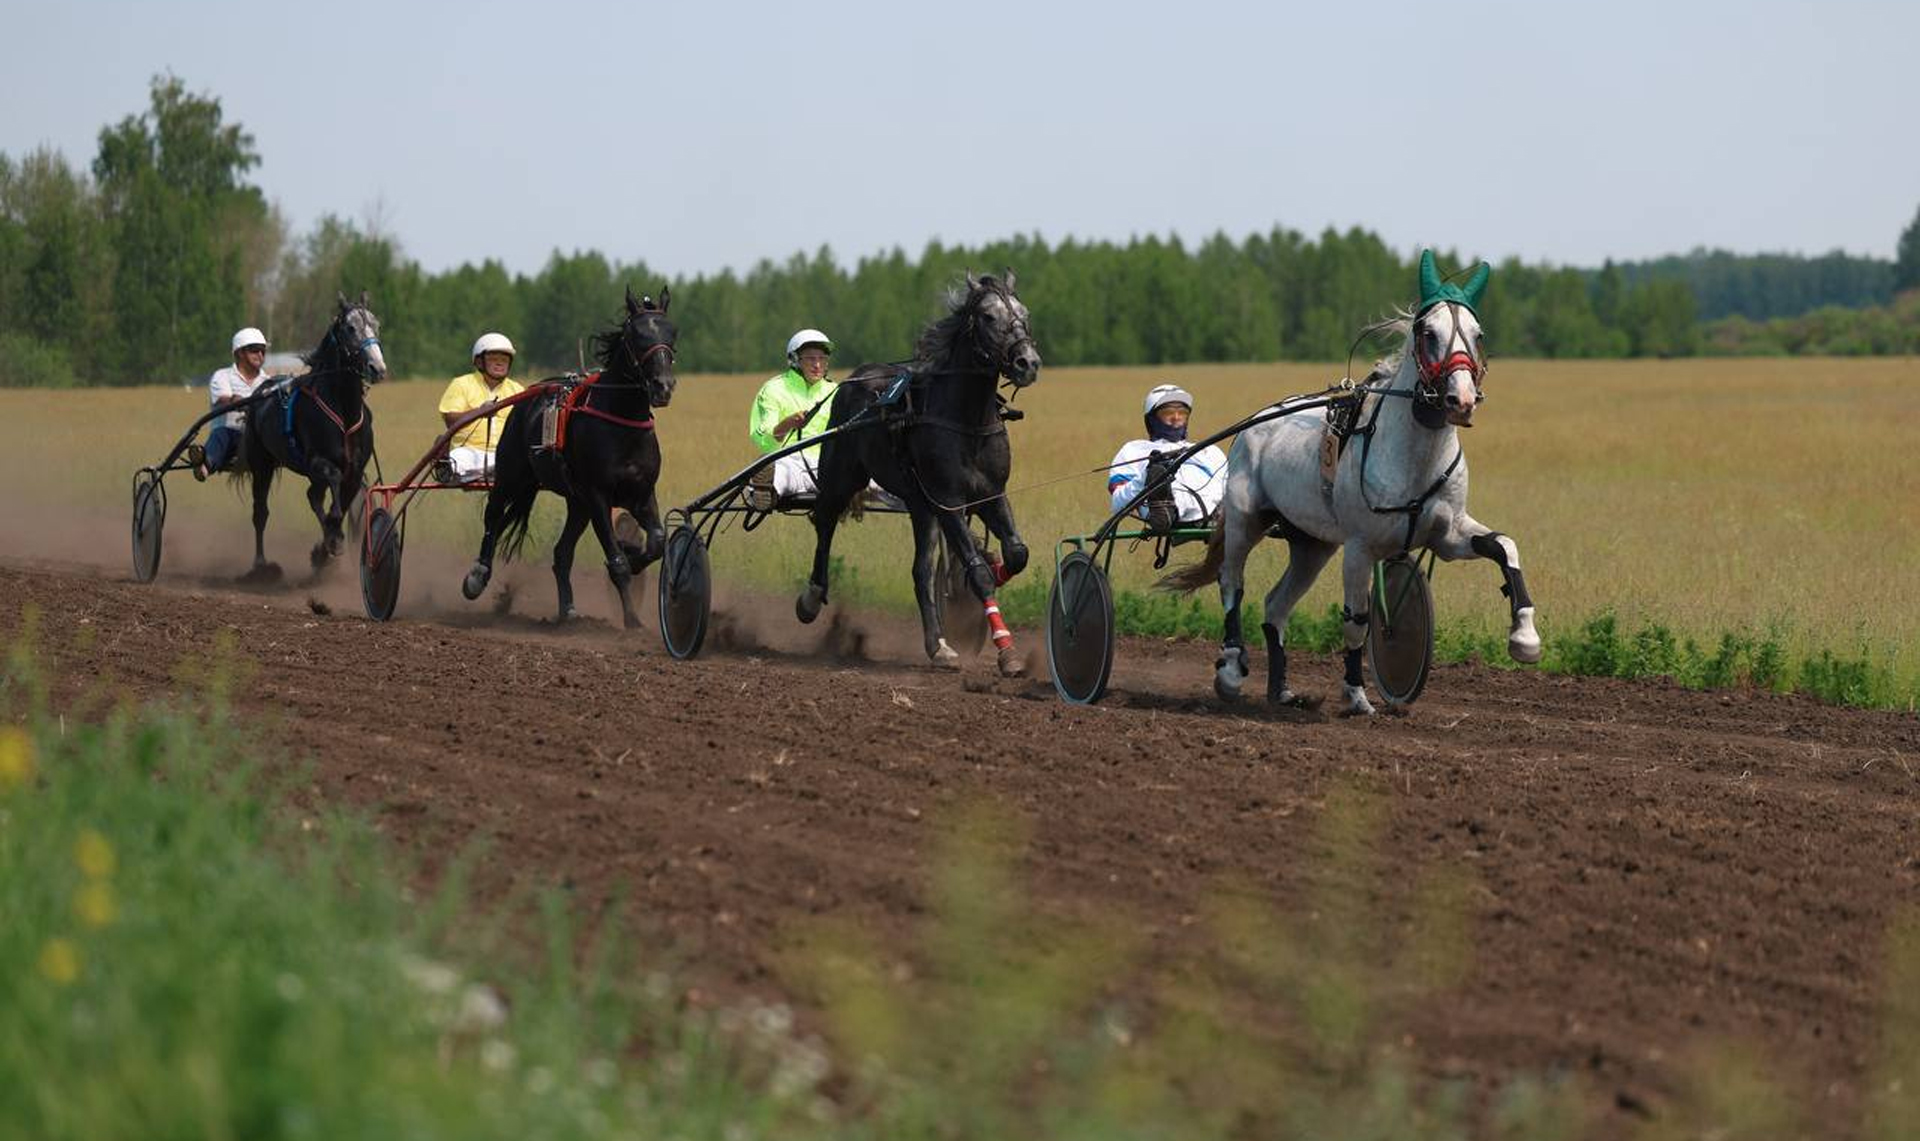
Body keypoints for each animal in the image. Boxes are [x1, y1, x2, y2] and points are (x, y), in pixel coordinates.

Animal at [236, 293, 385, 576]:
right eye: (350, 328)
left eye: (376, 324)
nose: (377, 368)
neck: (344, 409)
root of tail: (263, 390)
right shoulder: (319, 462)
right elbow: (333, 488)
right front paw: (331, 541)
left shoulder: (355, 469)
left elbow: (341, 504)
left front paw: (327, 546)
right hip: (262, 464)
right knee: (260, 512)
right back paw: (261, 566)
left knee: (313, 496)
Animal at [460, 282, 679, 622]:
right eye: (637, 335)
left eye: (672, 333)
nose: (663, 386)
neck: (621, 422)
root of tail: (527, 399)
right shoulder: (598, 494)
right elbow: (616, 563)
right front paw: (632, 620)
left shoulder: (641, 493)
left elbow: (656, 543)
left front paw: (634, 557)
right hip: (512, 476)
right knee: (493, 516)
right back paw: (477, 576)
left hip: (578, 502)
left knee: (561, 553)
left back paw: (568, 610)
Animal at [791, 268, 1044, 672]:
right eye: (988, 316)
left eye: (1024, 312)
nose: (1027, 362)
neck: (966, 421)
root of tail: (854, 379)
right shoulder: (948, 500)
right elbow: (978, 573)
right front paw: (1006, 650)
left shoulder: (991, 493)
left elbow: (1017, 554)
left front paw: (991, 569)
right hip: (842, 476)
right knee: (825, 522)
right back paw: (812, 598)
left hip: (918, 504)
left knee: (921, 571)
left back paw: (937, 644)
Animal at [1152, 249, 1543, 710]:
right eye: (1428, 332)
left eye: (1477, 334)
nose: (1460, 401)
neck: (1414, 457)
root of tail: (1256, 421)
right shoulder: (1360, 546)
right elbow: (1357, 620)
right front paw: (1356, 692)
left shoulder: (1447, 535)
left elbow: (1504, 547)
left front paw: (1525, 636)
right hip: (1248, 519)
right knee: (1232, 583)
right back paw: (1231, 669)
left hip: (1312, 543)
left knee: (1275, 606)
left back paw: (1280, 690)